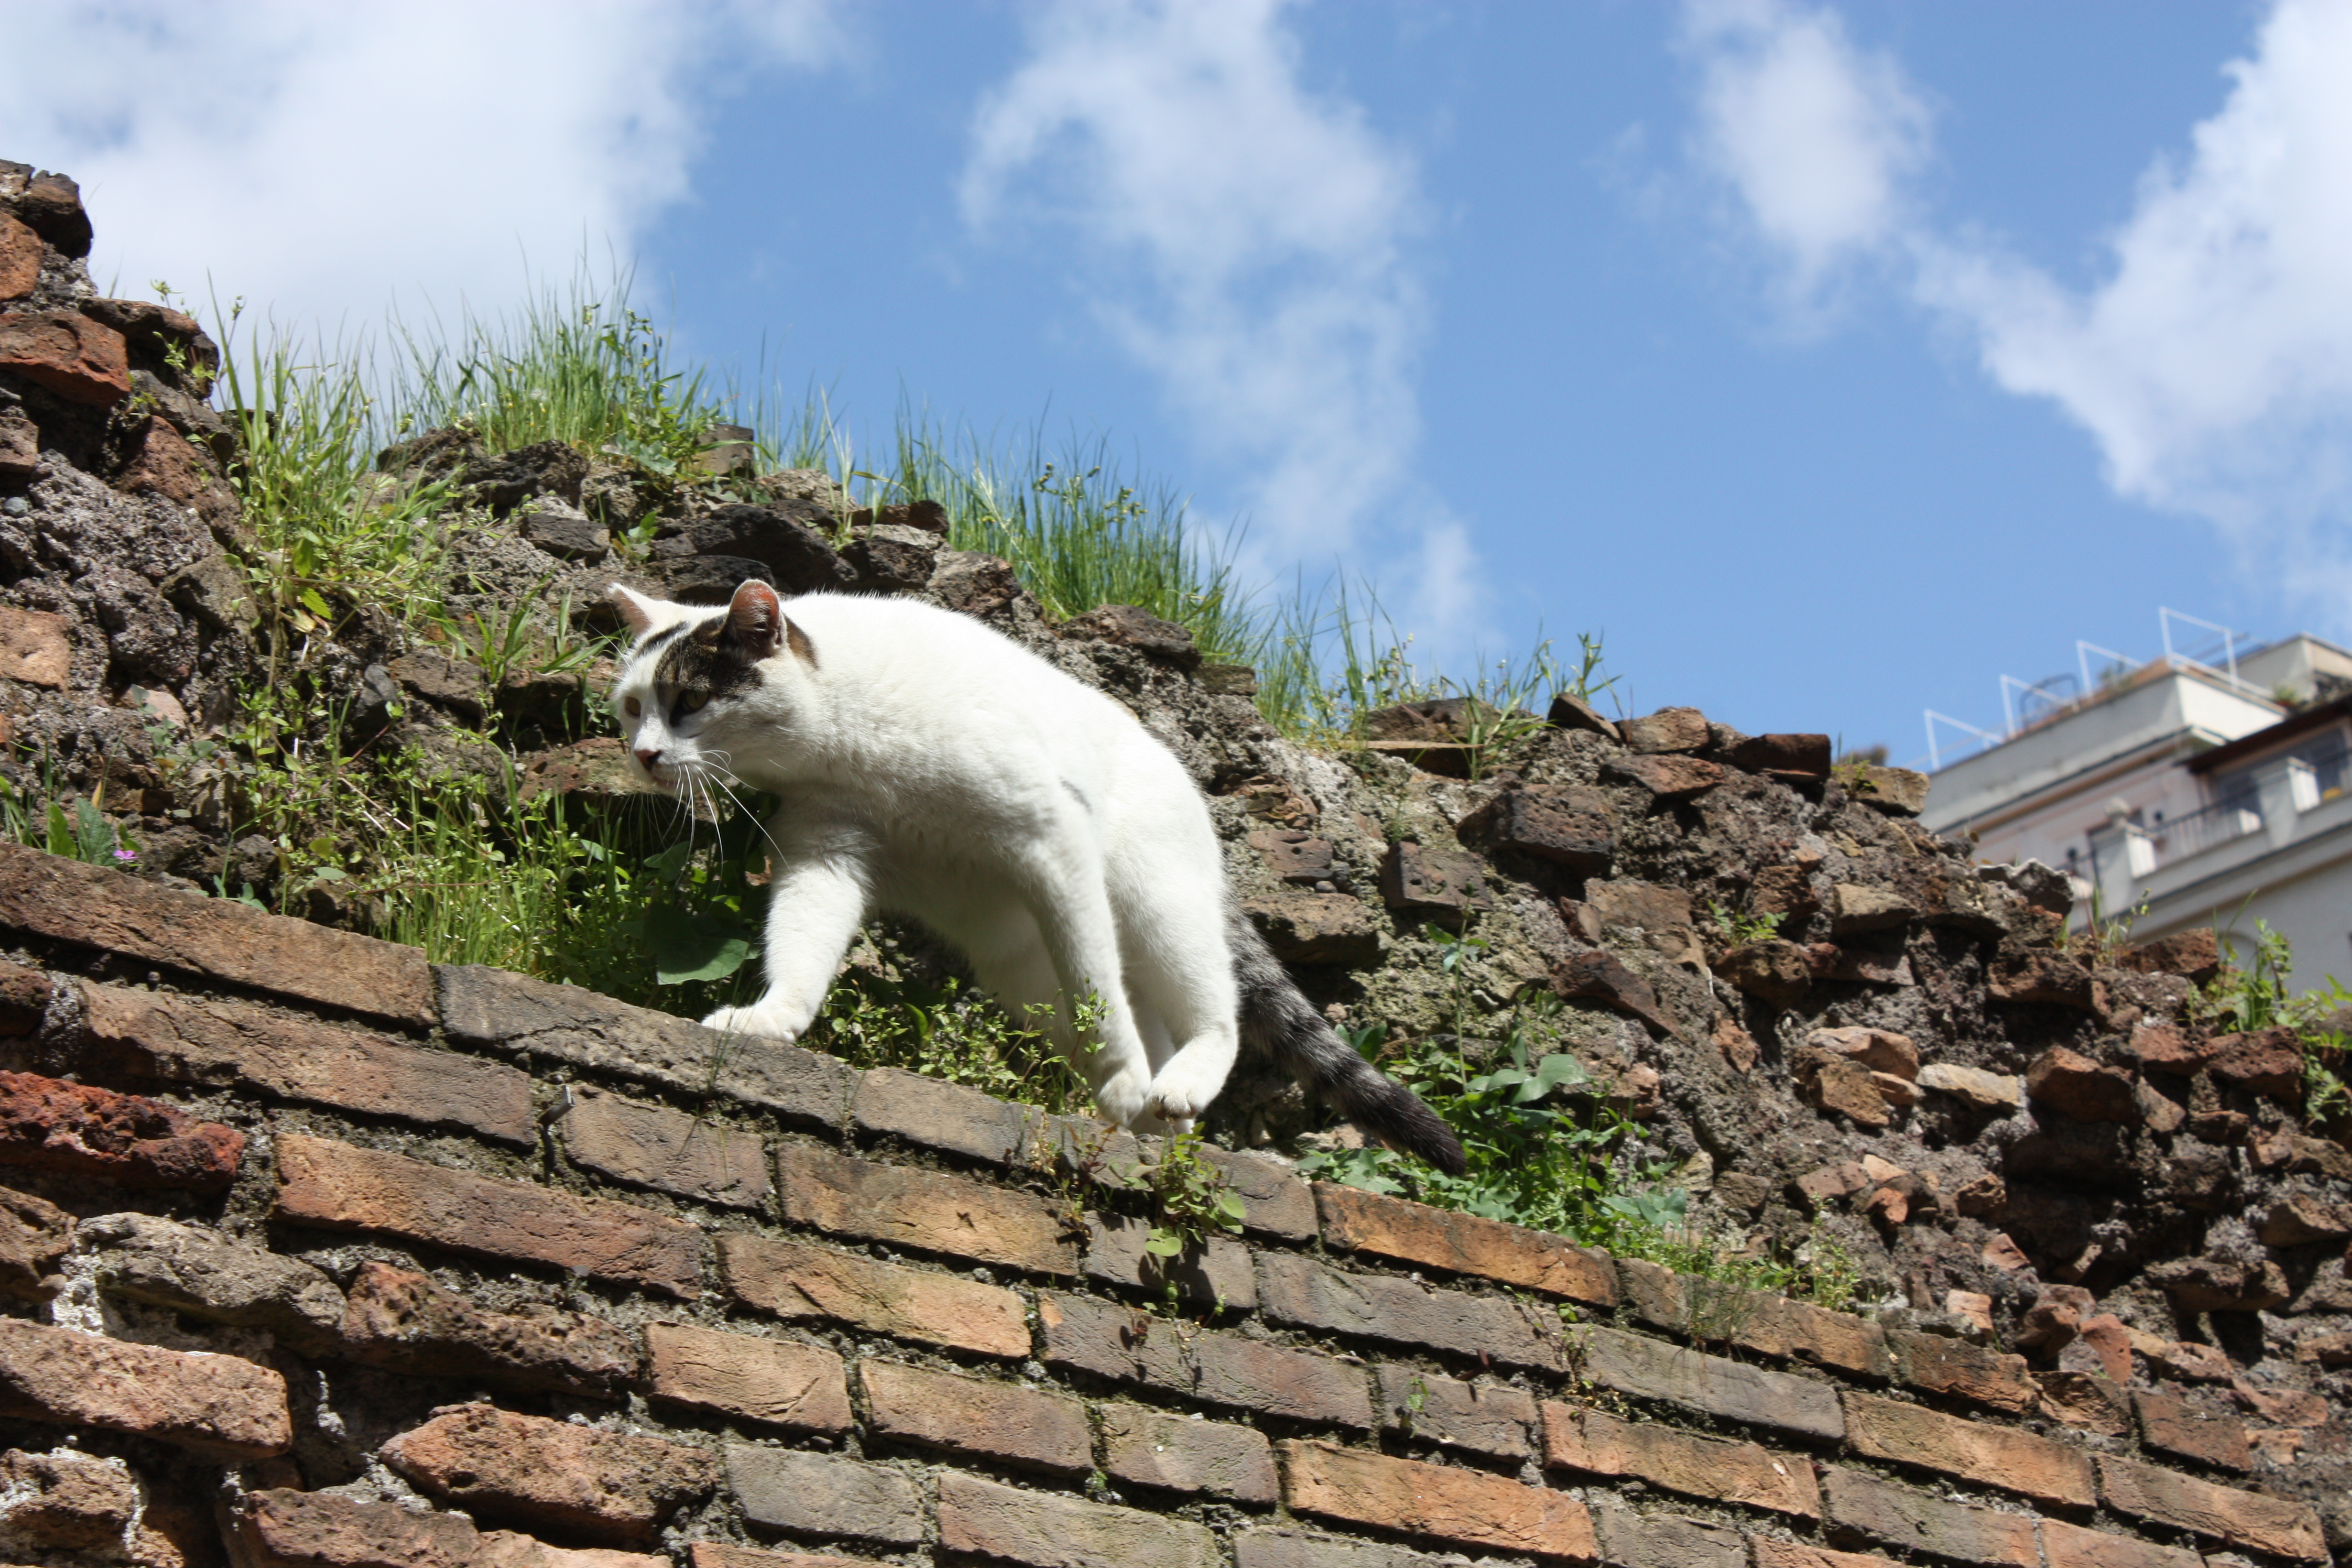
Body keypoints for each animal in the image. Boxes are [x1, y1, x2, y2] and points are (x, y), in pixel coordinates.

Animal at [608, 577, 1465, 1173]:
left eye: (688, 701)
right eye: (630, 708)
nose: (643, 755)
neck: (841, 741)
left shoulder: (1048, 840)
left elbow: (1098, 992)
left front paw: (1121, 1076)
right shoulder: (827, 849)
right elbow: (802, 945)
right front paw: (769, 1020)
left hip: (1154, 903)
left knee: (1208, 1010)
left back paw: (1170, 1084)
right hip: (1019, 967)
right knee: (1142, 1022)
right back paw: (1151, 1114)